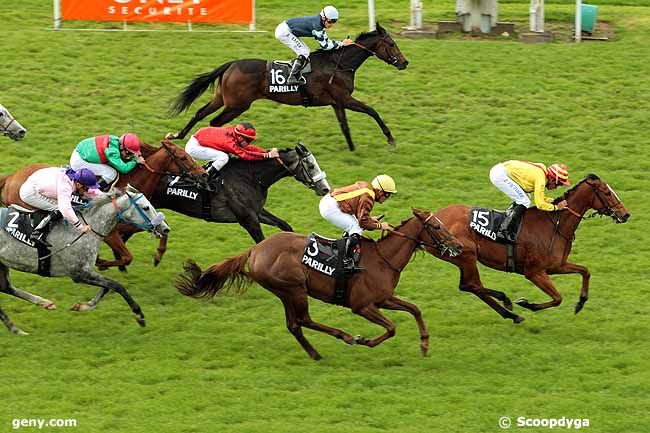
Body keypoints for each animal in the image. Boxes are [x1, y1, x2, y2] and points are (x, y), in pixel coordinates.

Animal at [0, 186, 170, 334]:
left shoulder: (86, 272)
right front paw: (139, 315)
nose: (165, 228)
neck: (87, 227)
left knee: (6, 287)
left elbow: (107, 287)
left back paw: (33, 313)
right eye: (146, 207)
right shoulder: (79, 273)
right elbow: (117, 286)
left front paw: (83, 306)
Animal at [99, 143, 332, 270]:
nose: (325, 189)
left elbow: (284, 226)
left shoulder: (256, 212)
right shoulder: (247, 218)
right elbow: (261, 241)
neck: (251, 177)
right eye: (310, 165)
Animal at [170, 22, 408, 150]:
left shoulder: (336, 103)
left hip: (223, 98)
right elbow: (372, 111)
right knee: (215, 121)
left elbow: (344, 126)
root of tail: (231, 64)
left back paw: (178, 136)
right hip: (237, 105)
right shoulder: (345, 99)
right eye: (392, 44)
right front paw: (390, 139)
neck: (339, 64)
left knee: (200, 113)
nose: (404, 63)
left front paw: (352, 149)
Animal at [177, 208, 460, 360]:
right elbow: (391, 328)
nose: (457, 246)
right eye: (437, 226)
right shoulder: (363, 306)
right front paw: (366, 341)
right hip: (294, 288)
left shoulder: (384, 299)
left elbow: (414, 309)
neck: (383, 259)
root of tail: (255, 249)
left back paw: (315, 353)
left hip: (284, 292)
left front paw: (424, 344)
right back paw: (347, 336)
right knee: (304, 319)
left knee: (294, 324)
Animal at [430, 174, 628, 322]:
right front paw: (527, 304)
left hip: (464, 259)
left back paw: (511, 314)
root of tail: (432, 218)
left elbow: (585, 271)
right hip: (466, 256)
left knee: (472, 286)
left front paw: (580, 303)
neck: (554, 225)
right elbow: (558, 298)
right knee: (471, 285)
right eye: (607, 193)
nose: (625, 214)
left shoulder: (557, 266)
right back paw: (507, 303)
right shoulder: (534, 272)